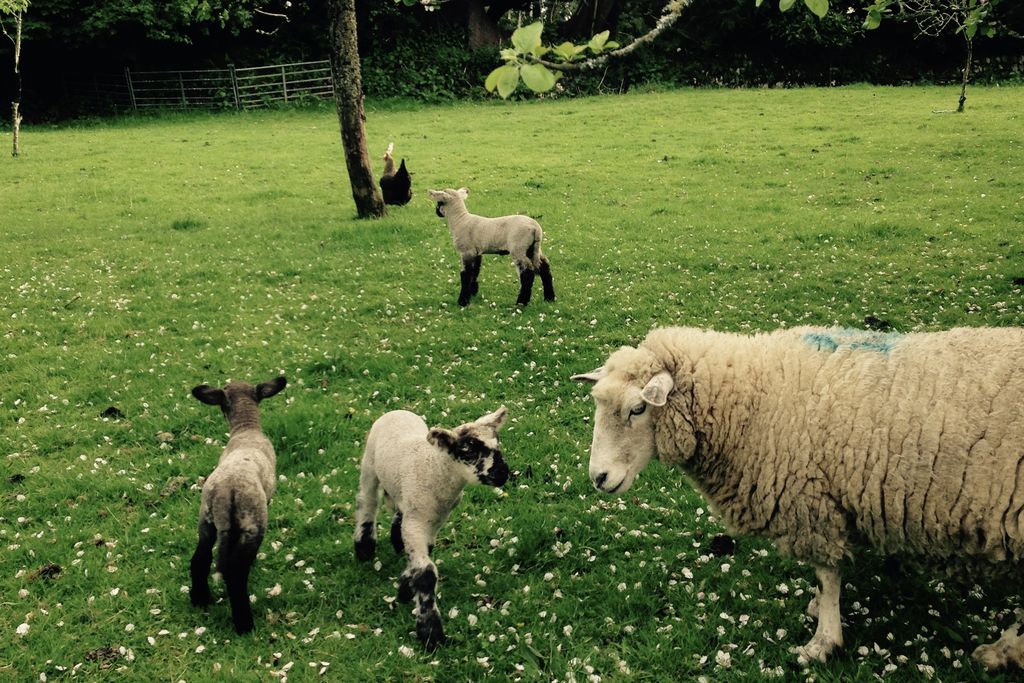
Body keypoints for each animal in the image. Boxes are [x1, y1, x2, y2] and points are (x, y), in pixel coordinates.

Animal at [189, 376, 286, 634]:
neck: (246, 428)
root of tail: (226, 492)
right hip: (252, 524)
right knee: (236, 572)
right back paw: (244, 624)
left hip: (206, 519)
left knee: (200, 559)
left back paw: (200, 599)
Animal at [354, 405, 509, 651]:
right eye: (467, 450)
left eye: (497, 444)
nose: (503, 473)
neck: (435, 468)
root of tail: (397, 411)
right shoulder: (417, 522)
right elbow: (426, 573)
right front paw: (431, 633)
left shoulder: (434, 520)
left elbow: (423, 554)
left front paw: (405, 586)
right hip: (369, 464)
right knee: (366, 502)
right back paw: (364, 548)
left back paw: (396, 541)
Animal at [428, 185, 557, 305]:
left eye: (439, 202)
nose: (437, 212)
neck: (459, 220)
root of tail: (535, 228)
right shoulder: (476, 252)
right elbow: (475, 271)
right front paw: (473, 292)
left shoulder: (466, 251)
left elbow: (466, 275)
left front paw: (463, 301)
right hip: (533, 248)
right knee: (544, 267)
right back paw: (549, 298)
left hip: (518, 248)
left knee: (528, 274)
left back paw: (521, 302)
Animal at [573, 327, 1024, 671]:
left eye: (637, 410)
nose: (598, 478)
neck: (755, 401)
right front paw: (818, 612)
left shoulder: (812, 506)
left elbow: (827, 575)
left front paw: (823, 641)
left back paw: (1002, 650)